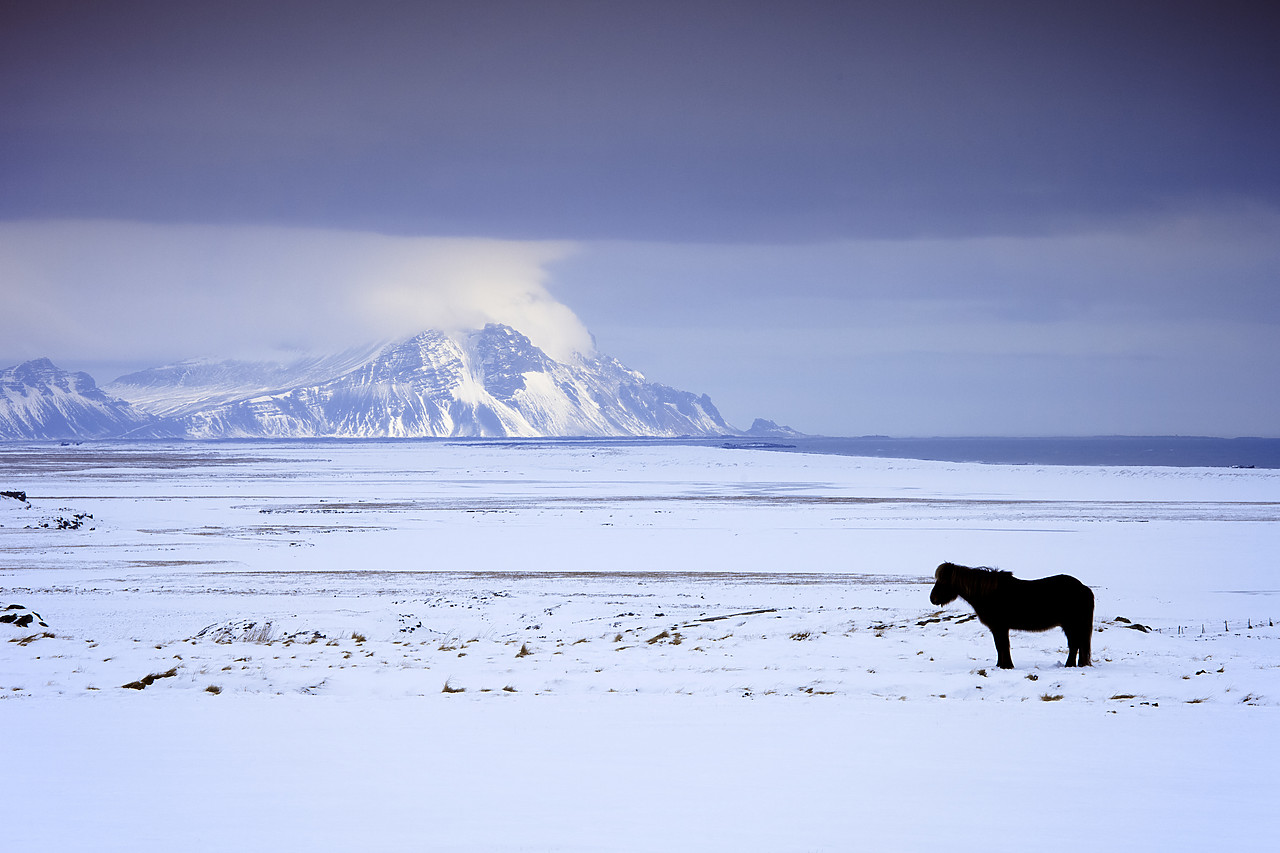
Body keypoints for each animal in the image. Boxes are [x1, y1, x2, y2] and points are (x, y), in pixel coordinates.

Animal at [926, 560, 1095, 666]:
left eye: (943, 581)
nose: (932, 598)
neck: (989, 594)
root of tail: (1083, 588)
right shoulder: (998, 628)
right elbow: (1000, 646)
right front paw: (1001, 665)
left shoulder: (999, 627)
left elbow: (1002, 646)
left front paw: (1006, 666)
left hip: (1071, 625)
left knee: (1074, 645)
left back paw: (1069, 665)